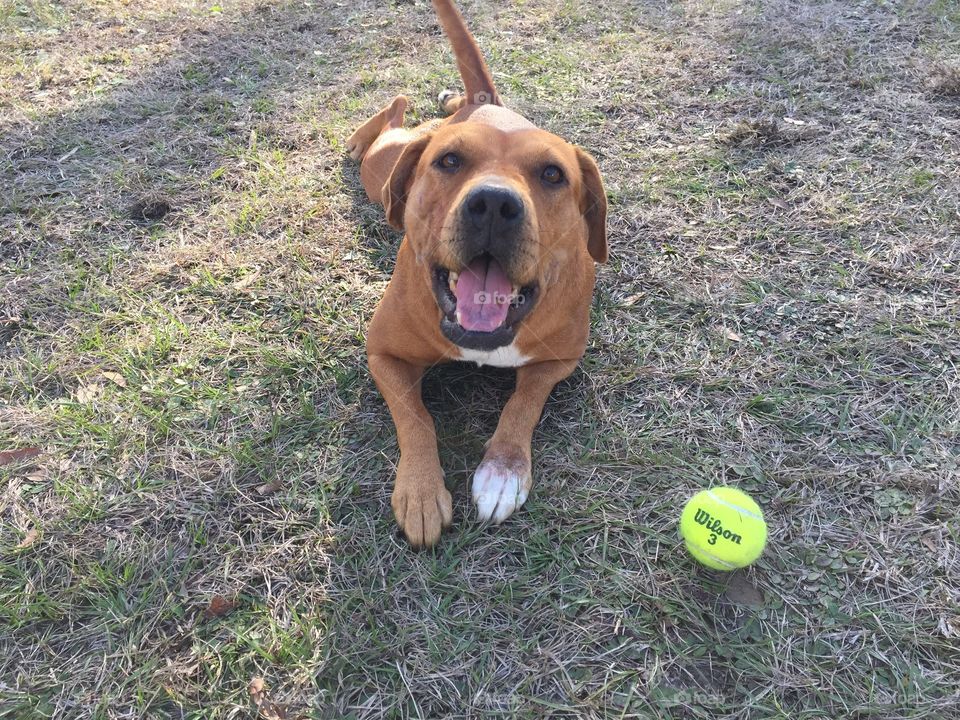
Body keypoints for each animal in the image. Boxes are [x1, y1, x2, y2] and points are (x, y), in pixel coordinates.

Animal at [348, 0, 608, 544]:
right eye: (449, 161)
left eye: (552, 174)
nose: (493, 204)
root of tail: (482, 102)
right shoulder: (383, 355)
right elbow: (416, 417)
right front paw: (421, 490)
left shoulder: (559, 360)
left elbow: (523, 403)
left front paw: (503, 470)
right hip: (379, 171)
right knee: (392, 117)